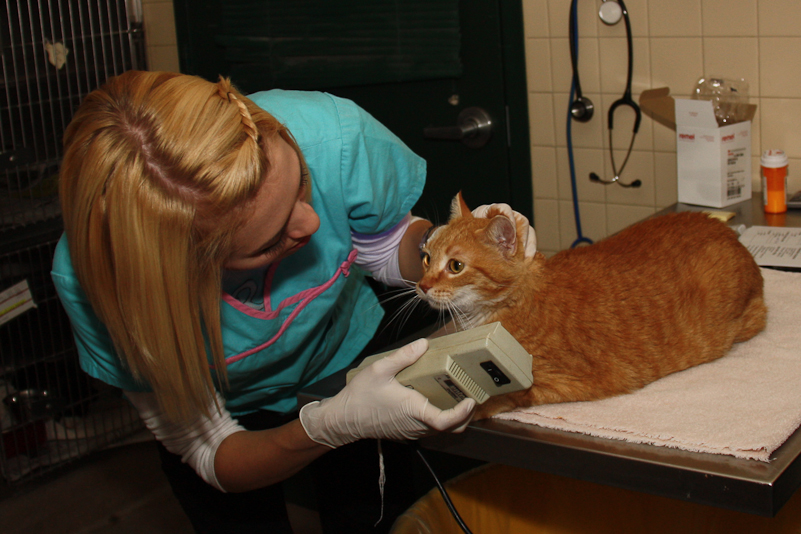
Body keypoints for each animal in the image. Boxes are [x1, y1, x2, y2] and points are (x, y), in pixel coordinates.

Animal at [416, 195, 764, 420]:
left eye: (456, 265)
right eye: (427, 258)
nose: (422, 285)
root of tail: (728, 233)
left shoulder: (566, 381)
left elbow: (508, 394)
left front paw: (472, 409)